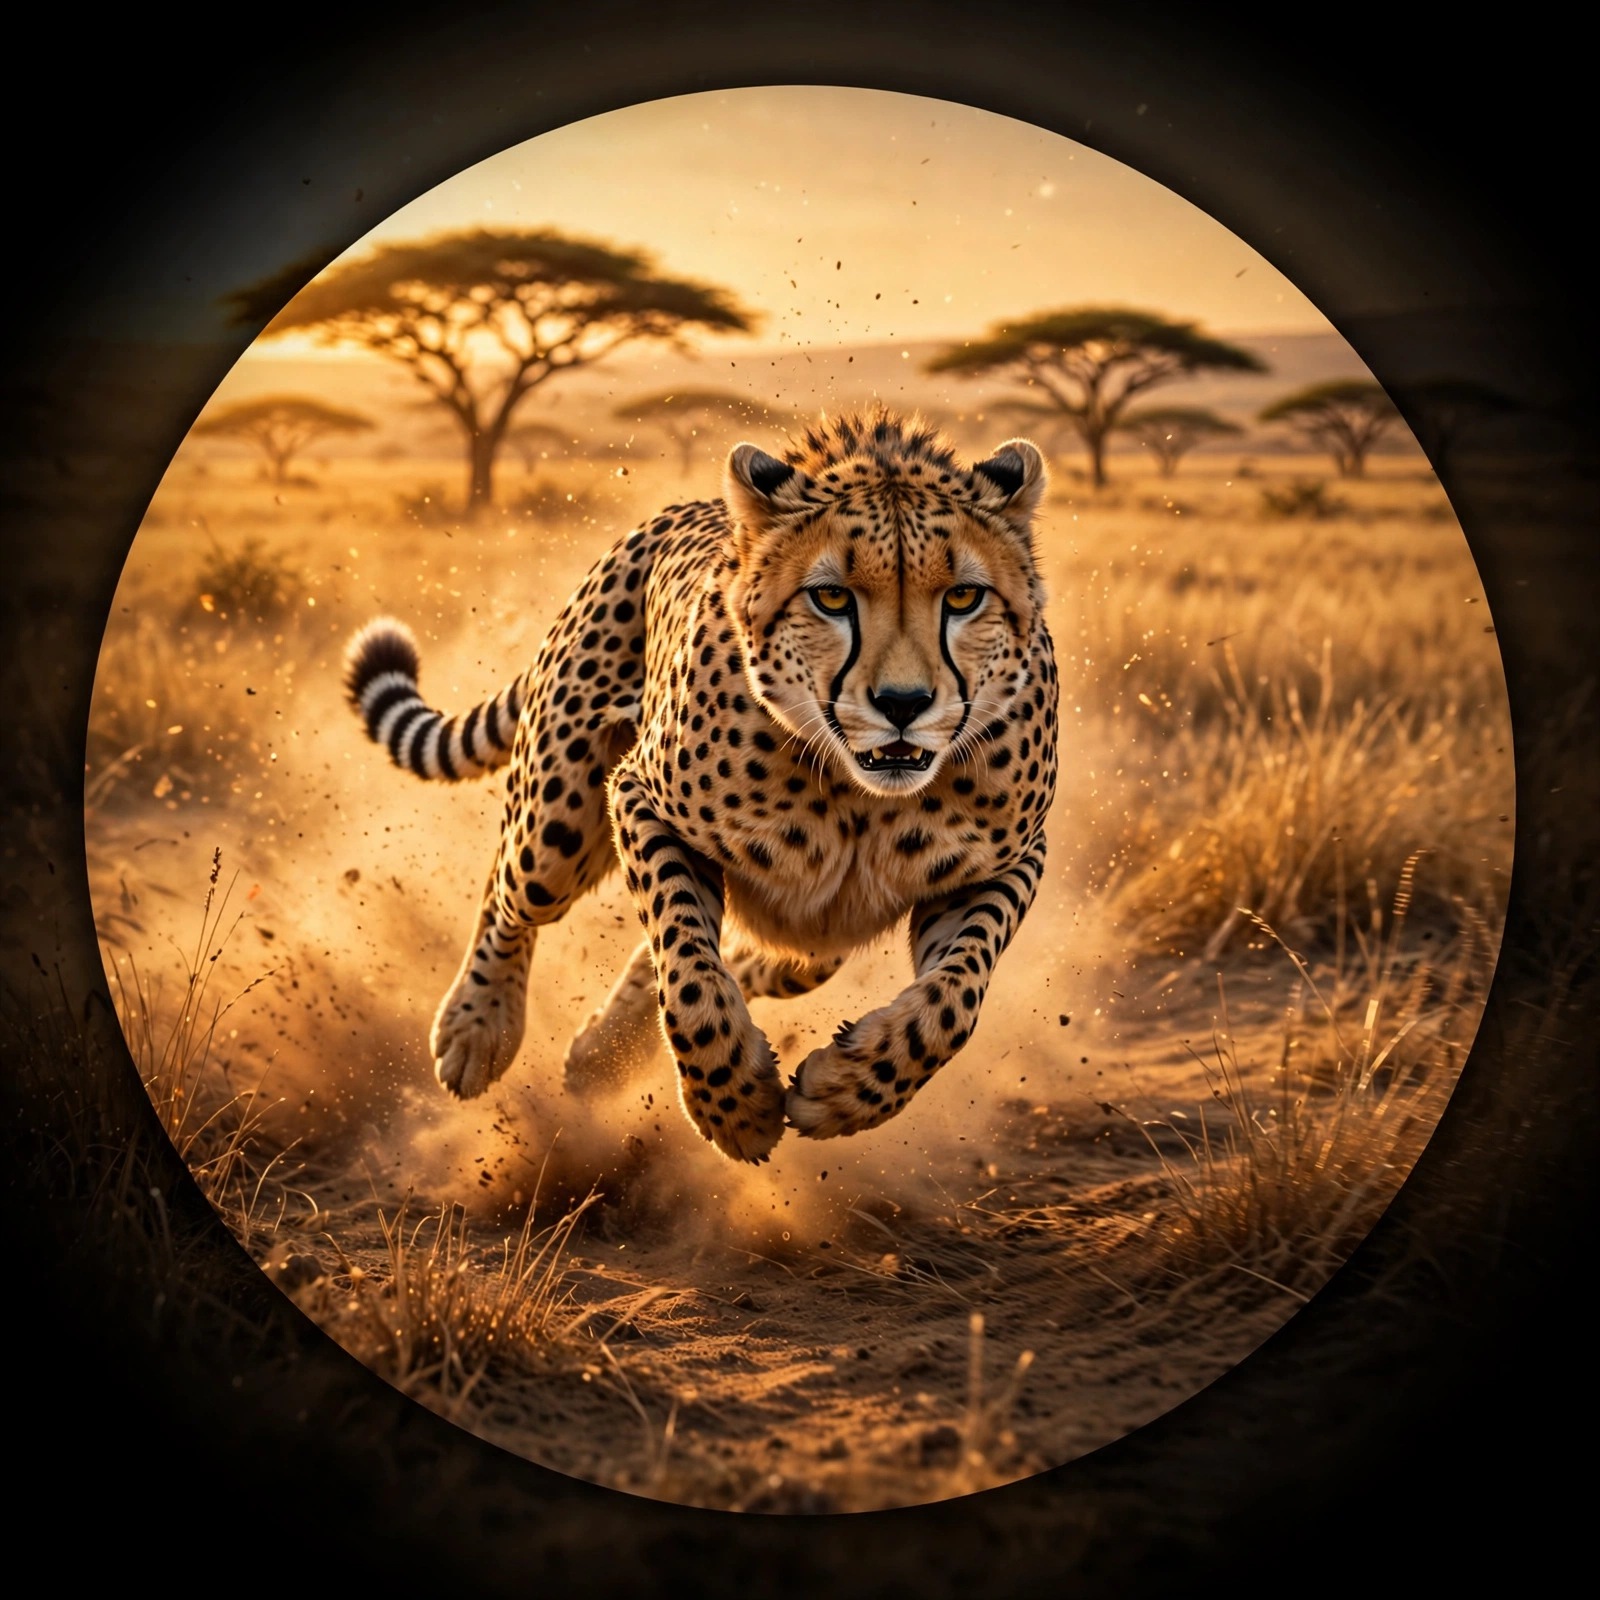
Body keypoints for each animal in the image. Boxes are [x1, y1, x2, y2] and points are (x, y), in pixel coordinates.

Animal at [342, 406, 1058, 1165]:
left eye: (964, 597)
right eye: (831, 597)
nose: (903, 703)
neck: (858, 793)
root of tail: (677, 512)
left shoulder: (1007, 863)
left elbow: (953, 1000)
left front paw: (851, 1087)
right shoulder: (639, 799)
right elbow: (685, 964)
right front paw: (732, 1103)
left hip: (815, 939)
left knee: (766, 956)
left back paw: (602, 1052)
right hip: (556, 820)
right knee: (512, 893)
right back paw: (479, 1027)